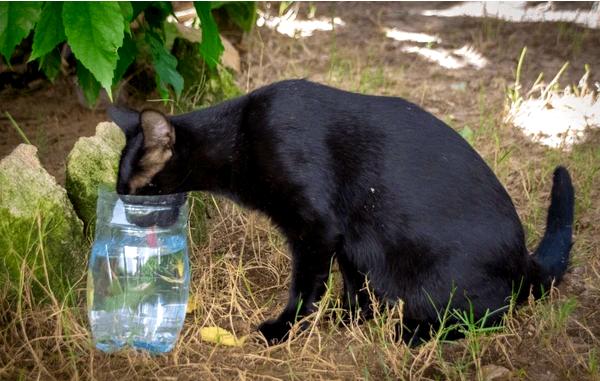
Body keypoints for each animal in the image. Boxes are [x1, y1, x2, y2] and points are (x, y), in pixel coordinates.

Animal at [109, 78, 576, 342]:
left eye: (135, 192)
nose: (122, 213)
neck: (239, 134)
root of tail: (526, 260)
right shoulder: (351, 239)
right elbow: (354, 287)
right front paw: (347, 320)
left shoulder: (316, 229)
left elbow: (305, 288)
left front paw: (285, 329)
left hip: (439, 280)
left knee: (487, 316)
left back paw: (409, 334)